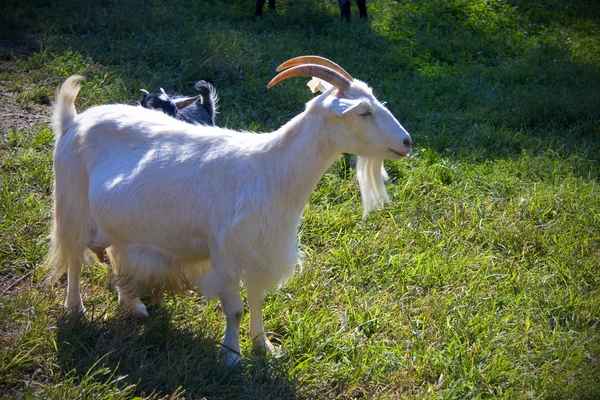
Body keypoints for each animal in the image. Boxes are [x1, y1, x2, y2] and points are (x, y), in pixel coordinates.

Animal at [47, 56, 412, 366]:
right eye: (363, 112)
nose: (407, 142)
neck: (269, 168)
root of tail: (73, 121)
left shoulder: (258, 250)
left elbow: (257, 300)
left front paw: (263, 347)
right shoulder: (228, 252)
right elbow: (234, 310)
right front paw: (232, 356)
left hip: (121, 223)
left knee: (115, 251)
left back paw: (134, 306)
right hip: (72, 204)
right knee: (75, 259)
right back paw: (76, 309)